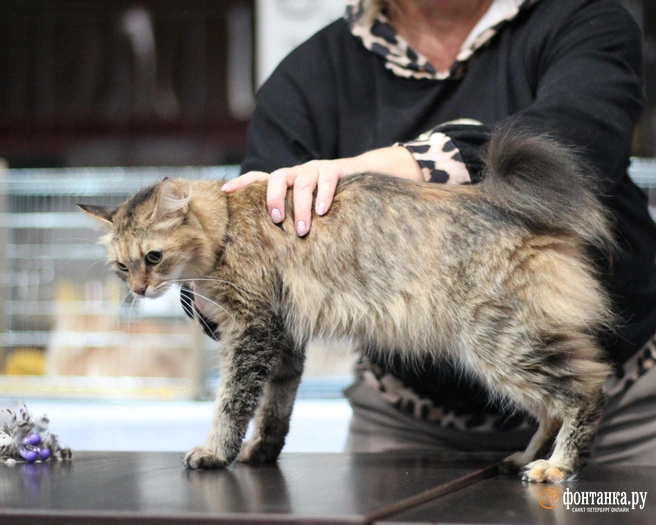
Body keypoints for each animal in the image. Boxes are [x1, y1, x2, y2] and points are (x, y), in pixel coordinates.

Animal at [80, 129, 616, 482]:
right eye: (122, 267)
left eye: (153, 257)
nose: (140, 290)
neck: (229, 222)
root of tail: (512, 210)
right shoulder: (284, 338)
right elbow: (274, 410)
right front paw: (261, 452)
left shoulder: (252, 328)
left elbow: (232, 404)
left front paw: (215, 453)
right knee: (550, 407)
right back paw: (524, 459)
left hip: (499, 344)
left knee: (586, 390)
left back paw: (557, 466)